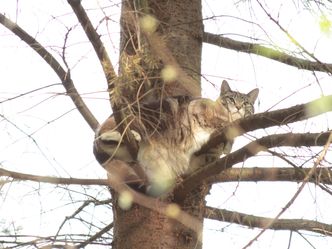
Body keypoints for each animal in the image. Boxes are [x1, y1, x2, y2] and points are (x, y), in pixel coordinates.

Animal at [93, 80, 260, 196]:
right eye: (231, 99)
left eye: (246, 103)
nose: (238, 107)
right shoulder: (198, 106)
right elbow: (213, 121)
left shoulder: (201, 161)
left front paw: (224, 145)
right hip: (146, 118)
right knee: (104, 136)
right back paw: (129, 135)